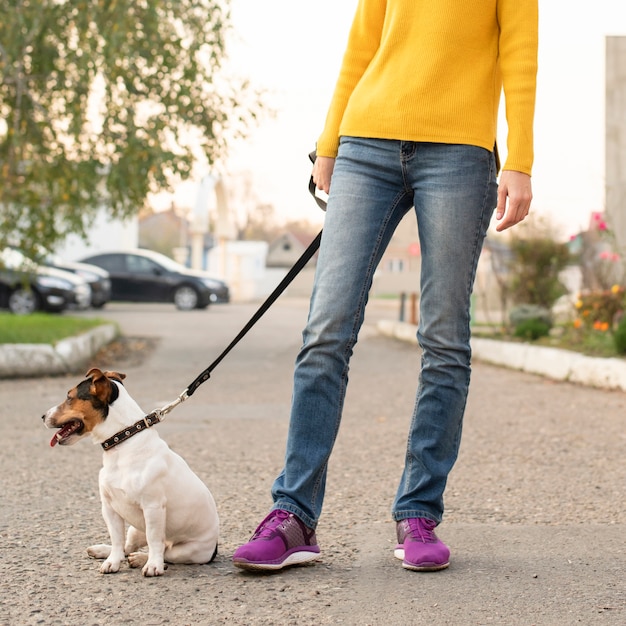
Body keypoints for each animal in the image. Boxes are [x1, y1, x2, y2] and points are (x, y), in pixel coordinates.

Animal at [41, 366, 217, 576]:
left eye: (69, 397)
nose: (42, 416)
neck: (123, 441)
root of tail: (214, 549)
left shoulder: (152, 507)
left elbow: (154, 540)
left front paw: (153, 565)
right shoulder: (109, 507)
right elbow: (117, 539)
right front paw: (112, 561)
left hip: (186, 551)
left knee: (165, 551)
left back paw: (144, 559)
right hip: (135, 529)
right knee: (128, 546)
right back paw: (105, 551)